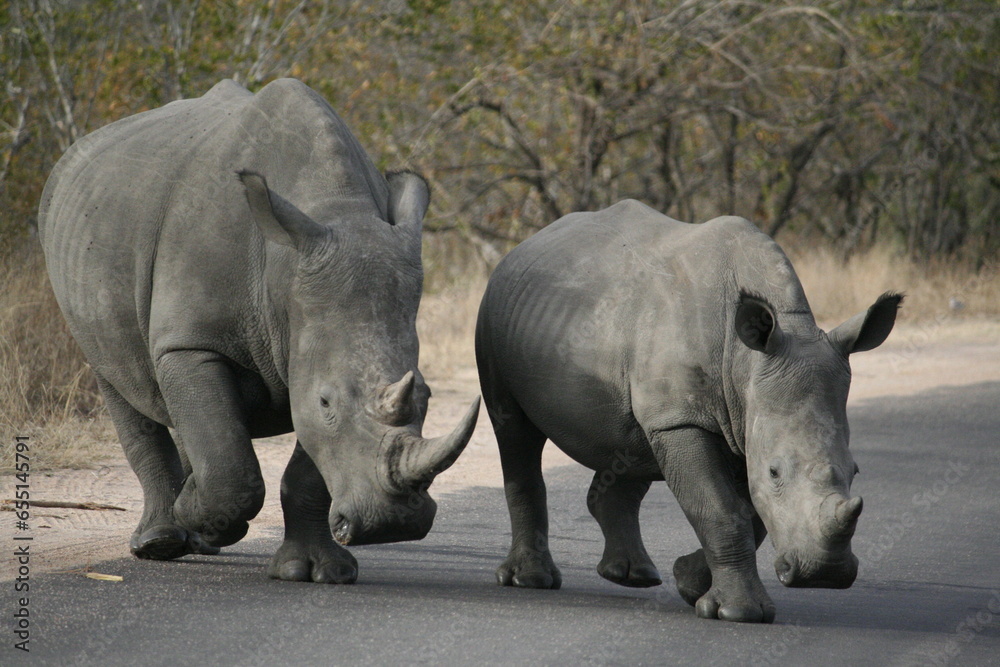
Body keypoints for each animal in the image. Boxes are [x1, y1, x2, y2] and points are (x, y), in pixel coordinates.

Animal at [38, 78, 479, 583]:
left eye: (427, 396)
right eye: (327, 402)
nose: (394, 524)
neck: (283, 272)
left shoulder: (308, 336)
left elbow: (304, 470)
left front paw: (315, 571)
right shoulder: (191, 343)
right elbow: (231, 464)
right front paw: (199, 512)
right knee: (118, 379)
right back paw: (163, 540)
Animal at [476, 200, 901, 622]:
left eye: (855, 471)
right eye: (775, 472)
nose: (823, 574)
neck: (746, 360)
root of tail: (522, 247)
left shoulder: (736, 416)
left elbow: (750, 514)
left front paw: (690, 584)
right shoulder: (682, 419)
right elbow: (721, 510)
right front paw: (738, 612)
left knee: (631, 443)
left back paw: (631, 575)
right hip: (496, 315)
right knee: (515, 433)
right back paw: (531, 580)